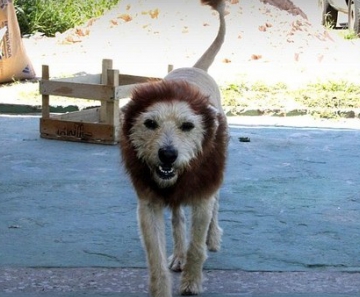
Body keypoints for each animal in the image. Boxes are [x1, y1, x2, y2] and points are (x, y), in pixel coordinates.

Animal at [120, 1, 228, 294]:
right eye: (150, 123)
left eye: (188, 126)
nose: (168, 154)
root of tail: (195, 68)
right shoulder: (148, 205)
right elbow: (155, 257)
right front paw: (161, 288)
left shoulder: (202, 196)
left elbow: (197, 246)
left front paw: (191, 282)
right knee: (178, 220)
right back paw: (179, 255)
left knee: (216, 206)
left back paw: (213, 238)